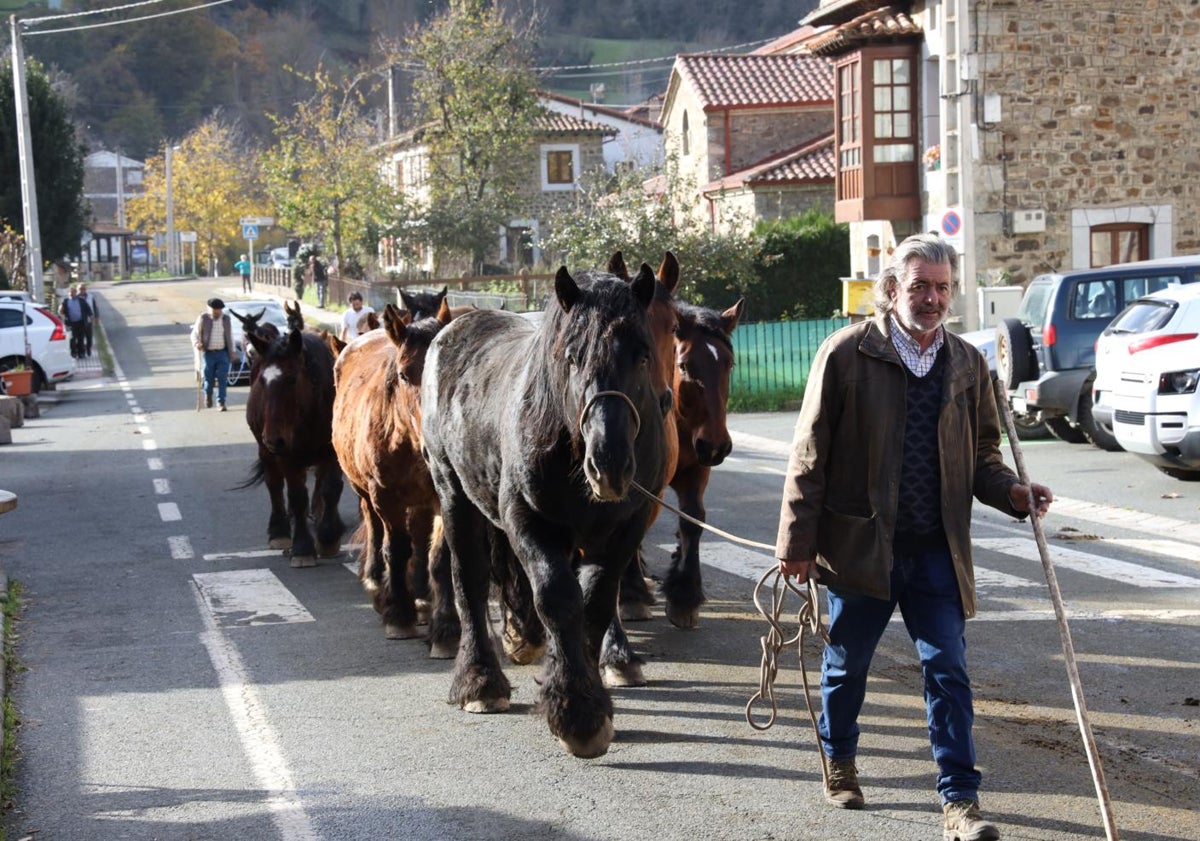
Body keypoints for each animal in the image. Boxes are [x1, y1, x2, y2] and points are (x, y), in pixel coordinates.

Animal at [237, 298, 343, 568]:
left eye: (293, 379)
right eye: (262, 382)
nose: (273, 439)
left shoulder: (333, 452)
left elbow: (331, 488)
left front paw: (328, 537)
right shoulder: (287, 455)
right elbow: (296, 496)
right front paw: (303, 548)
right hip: (267, 451)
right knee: (274, 484)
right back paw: (280, 531)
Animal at [331, 302, 456, 657]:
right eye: (403, 374)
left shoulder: (442, 497)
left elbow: (440, 558)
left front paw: (445, 630)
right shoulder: (385, 497)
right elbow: (396, 549)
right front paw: (399, 616)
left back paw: (423, 600)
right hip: (364, 491)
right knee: (375, 528)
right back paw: (378, 583)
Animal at [420, 265, 667, 758]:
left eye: (643, 355)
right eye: (572, 357)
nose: (609, 463)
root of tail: (455, 325)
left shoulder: (625, 527)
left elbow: (594, 603)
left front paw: (584, 694)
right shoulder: (528, 522)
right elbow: (557, 597)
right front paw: (577, 712)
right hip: (452, 492)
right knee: (469, 580)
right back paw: (479, 681)